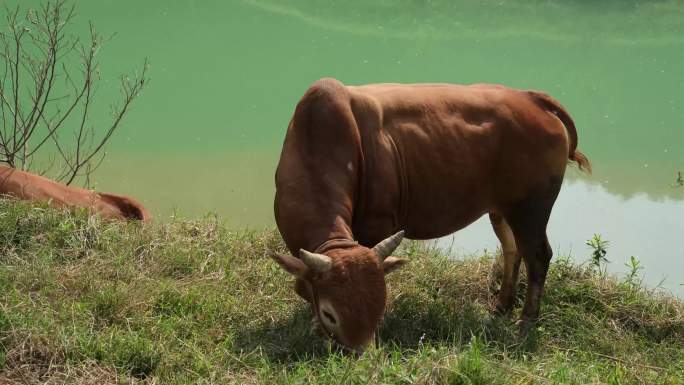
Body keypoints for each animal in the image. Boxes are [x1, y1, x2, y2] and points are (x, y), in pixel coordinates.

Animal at [270, 77, 592, 352]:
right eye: (330, 313)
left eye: (379, 306)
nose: (361, 355)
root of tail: (530, 97)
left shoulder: (378, 226)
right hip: (503, 210)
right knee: (513, 250)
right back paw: (502, 305)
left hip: (531, 209)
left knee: (538, 256)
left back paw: (526, 321)